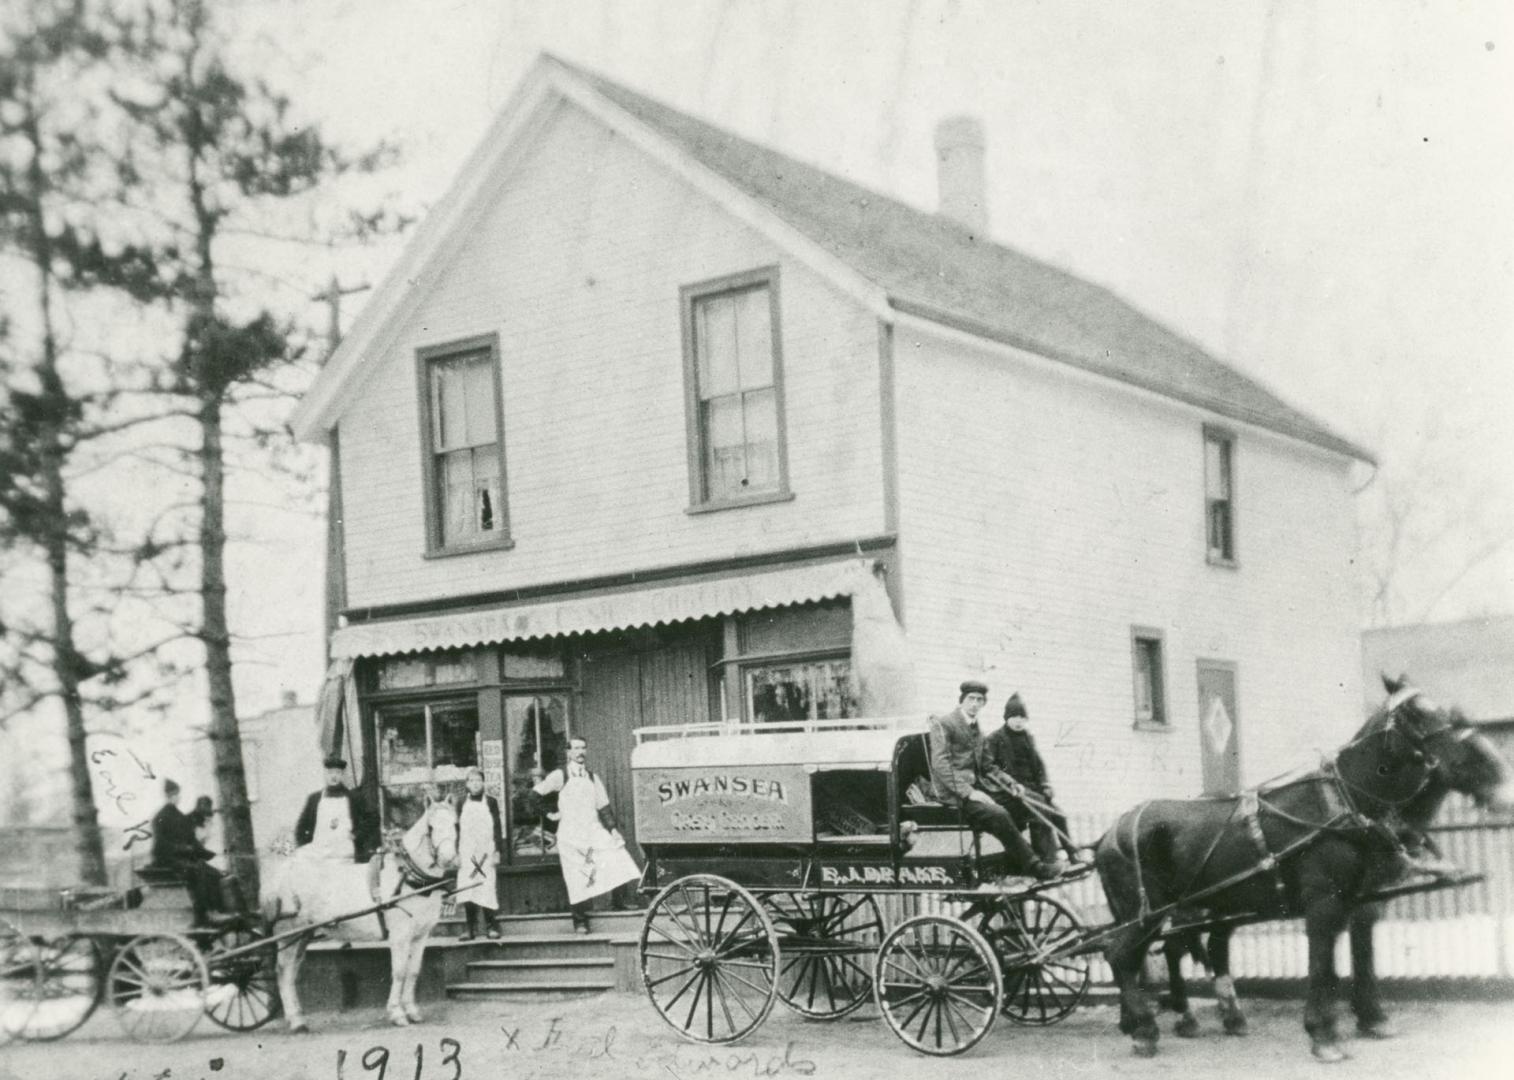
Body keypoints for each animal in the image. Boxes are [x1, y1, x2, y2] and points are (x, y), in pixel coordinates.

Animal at [263, 793, 457, 1030]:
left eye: (455, 824)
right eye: (430, 827)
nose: (449, 859)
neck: (409, 878)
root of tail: (282, 873)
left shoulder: (421, 936)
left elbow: (413, 972)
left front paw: (412, 1011)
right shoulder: (400, 936)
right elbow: (399, 972)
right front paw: (397, 1013)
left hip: (302, 936)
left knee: (291, 972)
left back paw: (297, 1017)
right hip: (288, 934)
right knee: (283, 972)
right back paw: (296, 1021)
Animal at [1096, 678, 1507, 1060]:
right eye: (1418, 716)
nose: (1496, 770)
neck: (1345, 802)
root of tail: (1108, 835)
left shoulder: (1362, 900)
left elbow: (1357, 957)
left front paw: (1370, 1019)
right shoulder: (1323, 902)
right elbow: (1322, 963)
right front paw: (1323, 1034)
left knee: (1177, 951)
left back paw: (1183, 1019)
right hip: (1150, 912)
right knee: (1124, 956)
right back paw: (1147, 1029)